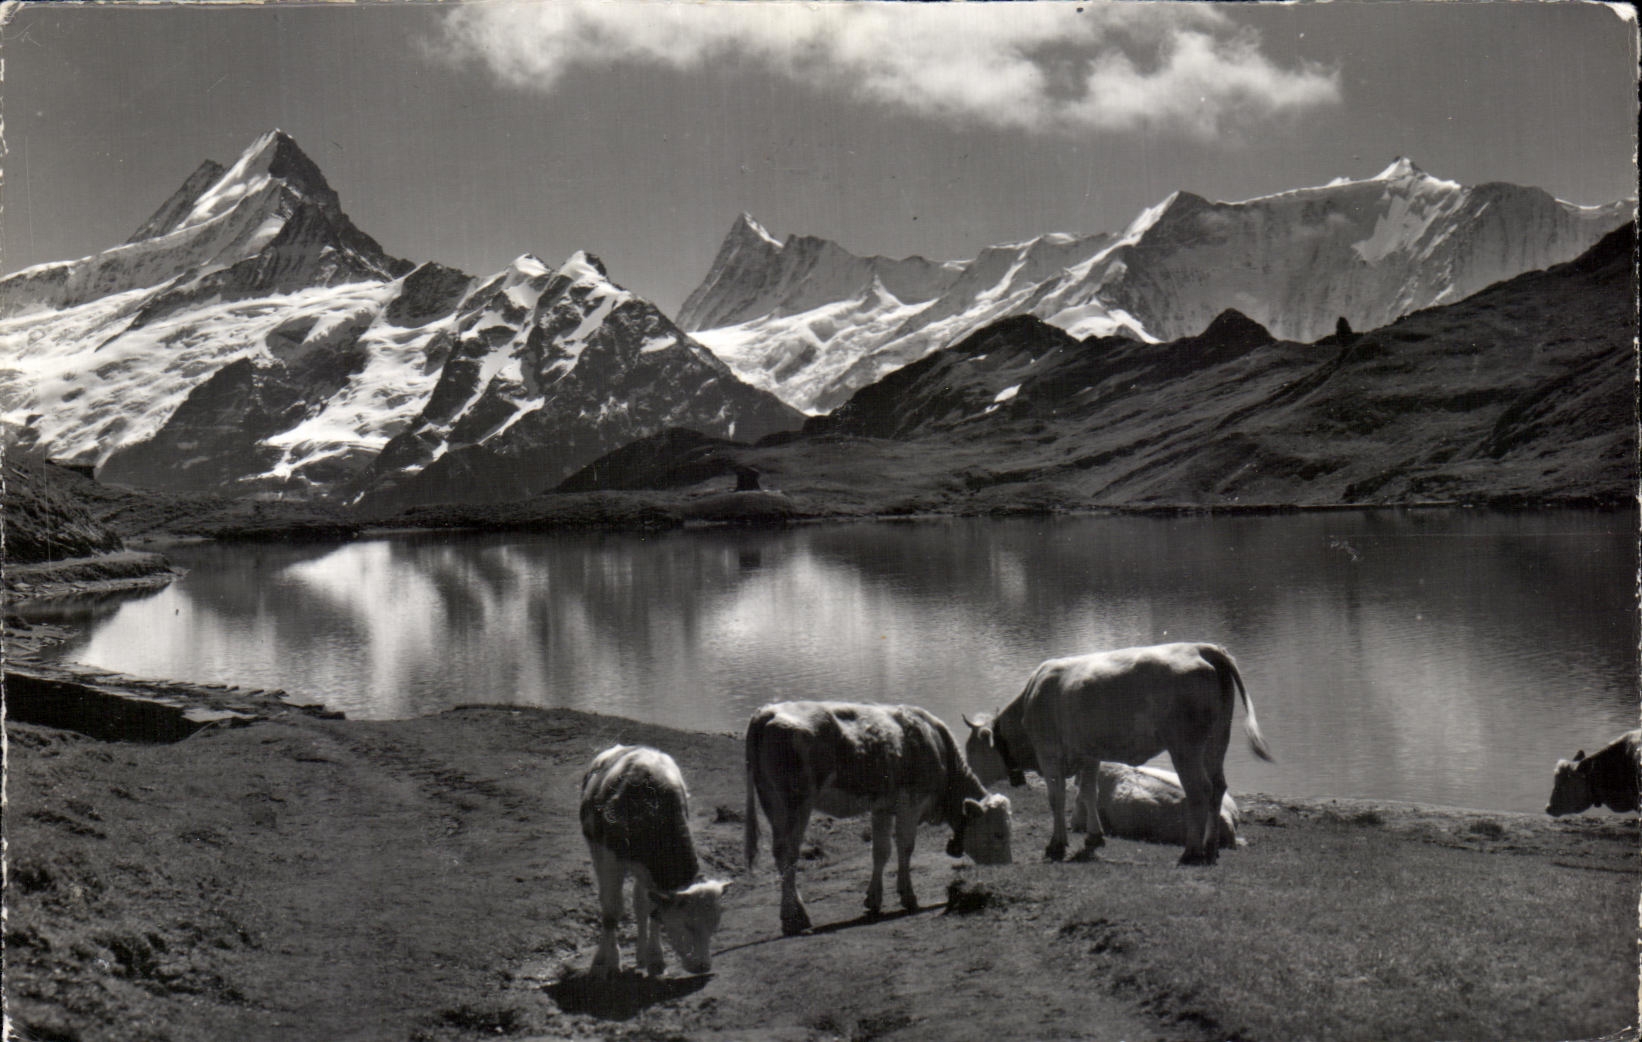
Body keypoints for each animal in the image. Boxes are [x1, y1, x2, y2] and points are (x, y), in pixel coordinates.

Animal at [579, 745, 730, 978]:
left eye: (715, 925)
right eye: (688, 924)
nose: (703, 966)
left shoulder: (651, 869)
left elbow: (652, 910)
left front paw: (655, 958)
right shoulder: (611, 860)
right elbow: (612, 910)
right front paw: (611, 963)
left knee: (641, 904)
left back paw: (642, 955)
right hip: (597, 852)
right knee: (606, 902)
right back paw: (602, 959)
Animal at [744, 701, 1012, 936]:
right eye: (998, 834)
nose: (1008, 865)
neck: (936, 746)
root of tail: (768, 711)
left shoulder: (882, 808)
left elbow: (881, 851)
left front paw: (874, 900)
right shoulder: (911, 804)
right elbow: (905, 847)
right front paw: (908, 897)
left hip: (772, 803)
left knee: (779, 854)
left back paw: (792, 915)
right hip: (796, 804)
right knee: (789, 855)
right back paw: (796, 918)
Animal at [965, 642, 1272, 866]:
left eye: (971, 749)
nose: (967, 776)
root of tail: (1200, 647)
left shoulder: (1049, 752)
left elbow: (1056, 798)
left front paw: (1056, 844)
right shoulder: (1089, 754)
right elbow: (1089, 792)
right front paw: (1094, 838)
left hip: (1185, 745)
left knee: (1200, 790)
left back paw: (1192, 853)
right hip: (1217, 739)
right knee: (1218, 787)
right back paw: (1209, 849)